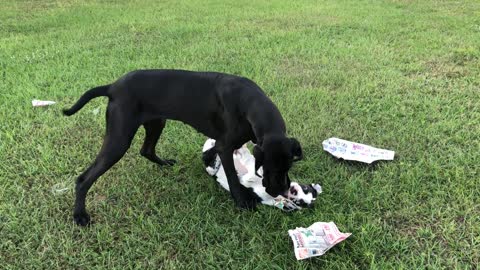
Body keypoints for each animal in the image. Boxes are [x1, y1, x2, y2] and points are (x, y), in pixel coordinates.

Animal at [62, 69, 304, 226]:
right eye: (268, 168)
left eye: (289, 166)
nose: (280, 191)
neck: (250, 103)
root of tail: (113, 86)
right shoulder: (226, 146)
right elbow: (232, 177)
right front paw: (242, 200)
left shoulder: (225, 143)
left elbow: (212, 153)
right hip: (119, 139)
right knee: (84, 178)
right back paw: (80, 215)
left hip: (156, 122)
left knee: (146, 150)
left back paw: (164, 163)